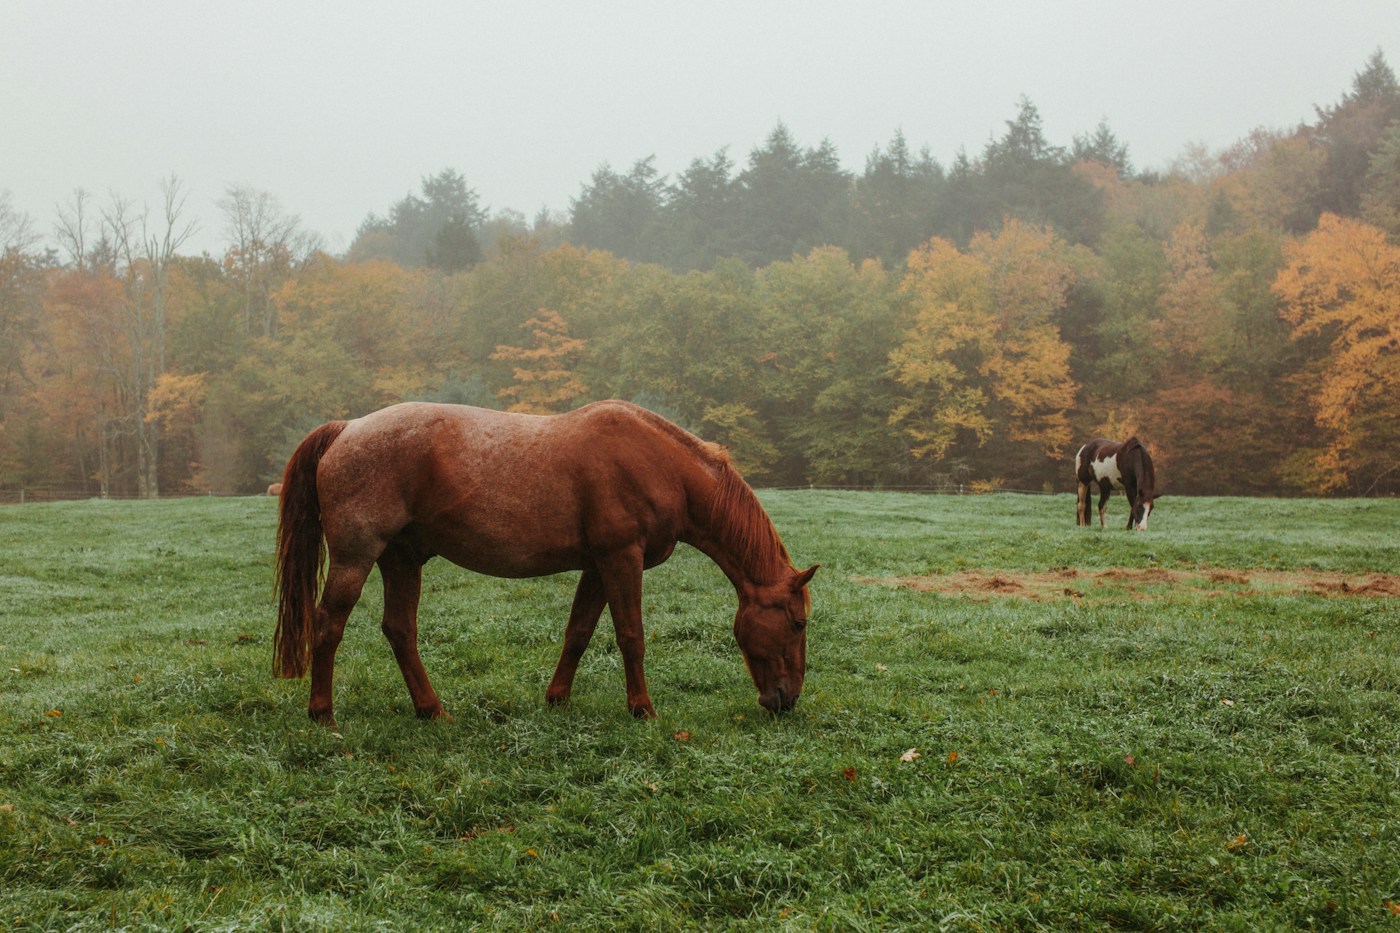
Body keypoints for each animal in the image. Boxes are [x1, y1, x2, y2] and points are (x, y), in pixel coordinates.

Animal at [274, 400, 817, 726]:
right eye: (798, 622)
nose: (786, 699)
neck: (660, 464)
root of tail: (346, 429)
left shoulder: (599, 566)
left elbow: (579, 632)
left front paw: (557, 698)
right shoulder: (622, 559)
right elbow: (631, 636)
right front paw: (642, 709)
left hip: (401, 559)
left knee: (399, 630)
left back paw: (432, 711)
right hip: (357, 557)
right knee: (328, 625)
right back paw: (323, 714)